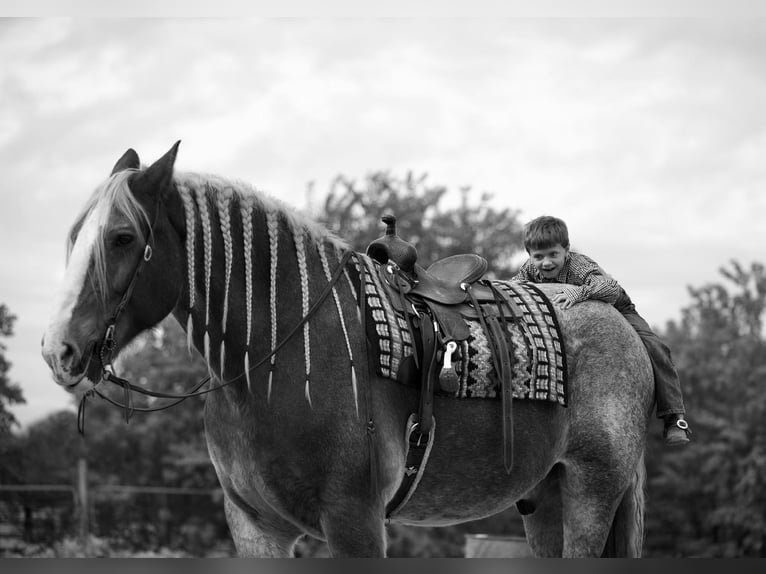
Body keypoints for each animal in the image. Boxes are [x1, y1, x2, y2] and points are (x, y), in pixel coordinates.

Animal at [42, 143, 656, 560]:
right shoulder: (256, 530)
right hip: (546, 496)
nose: (56, 349)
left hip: (592, 490)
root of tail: (621, 321)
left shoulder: (354, 521)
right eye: (73, 236)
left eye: (123, 237)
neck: (283, 357)